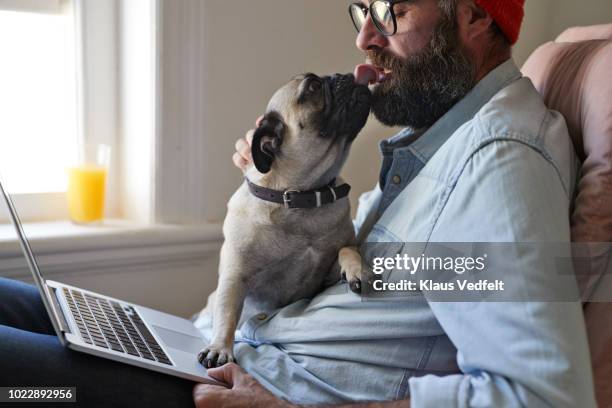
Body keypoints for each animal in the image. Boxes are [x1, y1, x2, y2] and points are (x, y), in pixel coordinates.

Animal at [197, 74, 368, 370]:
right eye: (313, 87)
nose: (346, 76)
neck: (302, 197)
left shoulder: (325, 277)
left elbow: (347, 248)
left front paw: (357, 269)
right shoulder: (235, 277)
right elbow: (228, 313)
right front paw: (220, 348)